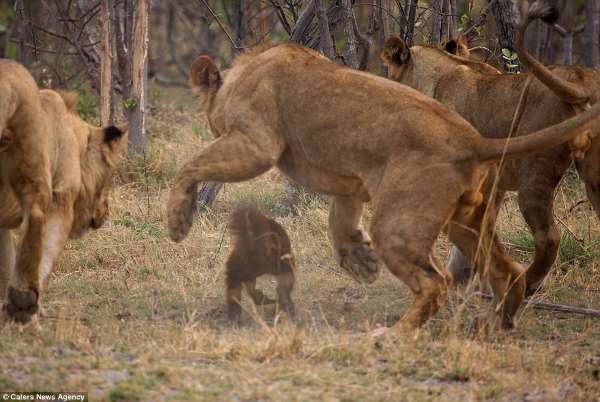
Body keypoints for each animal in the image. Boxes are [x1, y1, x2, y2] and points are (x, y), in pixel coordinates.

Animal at [0, 58, 127, 326]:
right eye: (109, 176)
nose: (105, 213)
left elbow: (5, 261)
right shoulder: (61, 198)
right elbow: (44, 255)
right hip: (35, 168)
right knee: (36, 217)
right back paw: (24, 302)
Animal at [164, 44, 600, 332]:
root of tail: (474, 141)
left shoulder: (257, 144)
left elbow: (189, 166)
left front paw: (178, 222)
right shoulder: (349, 184)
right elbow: (339, 225)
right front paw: (362, 262)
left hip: (398, 224)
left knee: (435, 282)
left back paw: (392, 336)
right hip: (466, 219)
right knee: (506, 270)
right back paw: (494, 325)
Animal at [382, 6, 600, 296]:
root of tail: (580, 79)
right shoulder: (492, 184)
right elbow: (481, 229)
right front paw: (466, 281)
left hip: (535, 170)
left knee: (549, 236)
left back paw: (525, 284)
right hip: (593, 177)